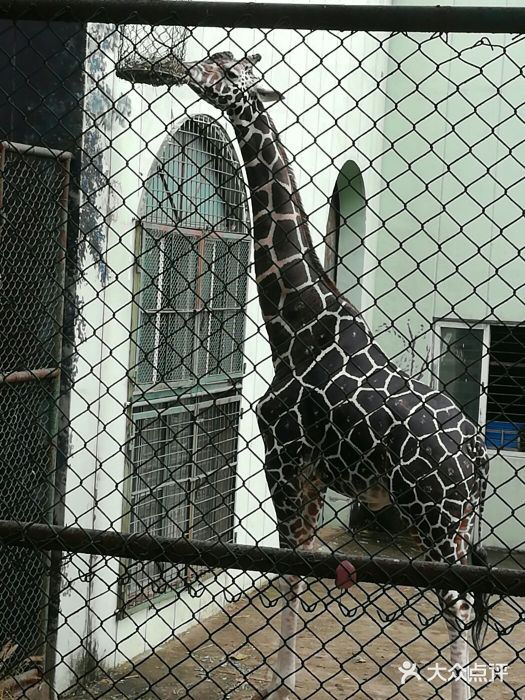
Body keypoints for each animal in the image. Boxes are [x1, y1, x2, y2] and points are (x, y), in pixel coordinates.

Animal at [170, 50, 490, 700]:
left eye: (228, 69)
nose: (187, 69)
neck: (294, 324)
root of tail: (475, 453)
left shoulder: (284, 457)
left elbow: (291, 570)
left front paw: (282, 683)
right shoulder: (312, 474)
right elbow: (303, 570)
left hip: (435, 516)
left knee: (461, 609)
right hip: (461, 520)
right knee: (466, 612)